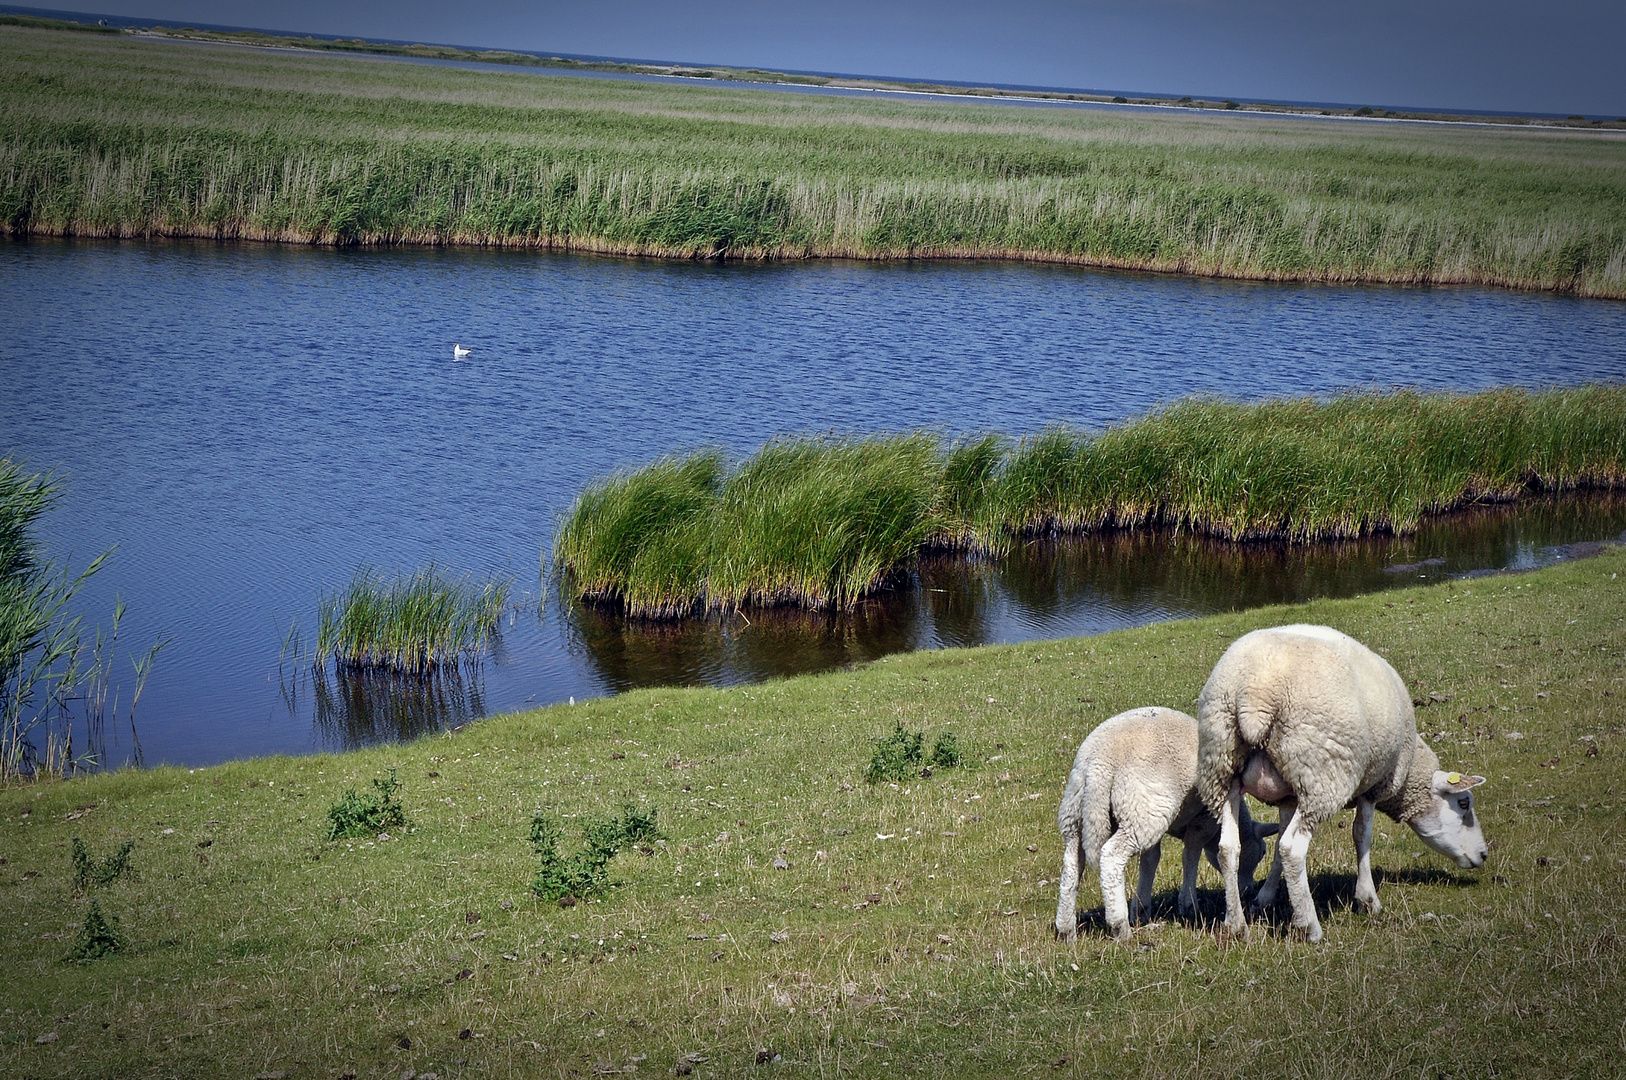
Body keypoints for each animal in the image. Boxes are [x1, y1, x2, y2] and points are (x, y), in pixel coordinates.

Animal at [1053, 705, 1281, 943]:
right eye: (1262, 852)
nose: (1248, 892)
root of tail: (1099, 763)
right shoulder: (1202, 822)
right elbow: (1190, 856)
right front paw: (1188, 904)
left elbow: (1150, 860)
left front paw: (1141, 909)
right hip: (1141, 810)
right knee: (1111, 856)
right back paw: (1120, 927)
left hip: (1080, 812)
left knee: (1072, 862)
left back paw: (1066, 929)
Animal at [1196, 627, 1489, 943]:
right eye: (1463, 803)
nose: (1483, 855)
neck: (1410, 768)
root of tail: (1256, 695)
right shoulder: (1373, 787)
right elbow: (1361, 835)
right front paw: (1368, 899)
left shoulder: (1288, 796)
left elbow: (1275, 848)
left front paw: (1265, 897)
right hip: (1320, 774)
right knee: (1292, 849)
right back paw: (1309, 927)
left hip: (1222, 767)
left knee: (1229, 848)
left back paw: (1236, 925)